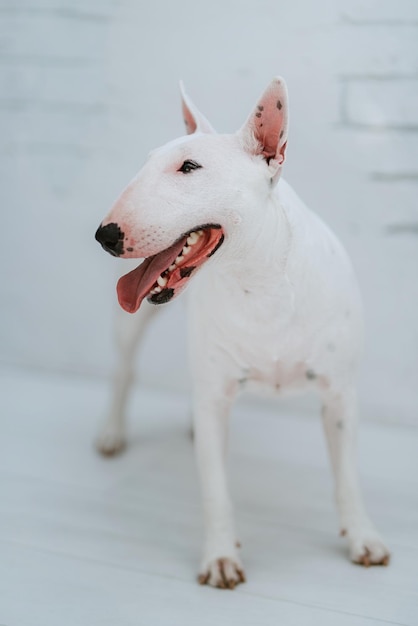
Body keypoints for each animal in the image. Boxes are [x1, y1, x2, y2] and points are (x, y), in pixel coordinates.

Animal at [94, 77, 388, 584]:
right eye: (144, 163)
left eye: (190, 167)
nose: (105, 235)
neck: (258, 279)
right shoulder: (215, 395)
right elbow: (215, 488)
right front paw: (220, 557)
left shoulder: (340, 394)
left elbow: (347, 477)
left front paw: (362, 537)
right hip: (134, 325)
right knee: (125, 369)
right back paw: (113, 431)